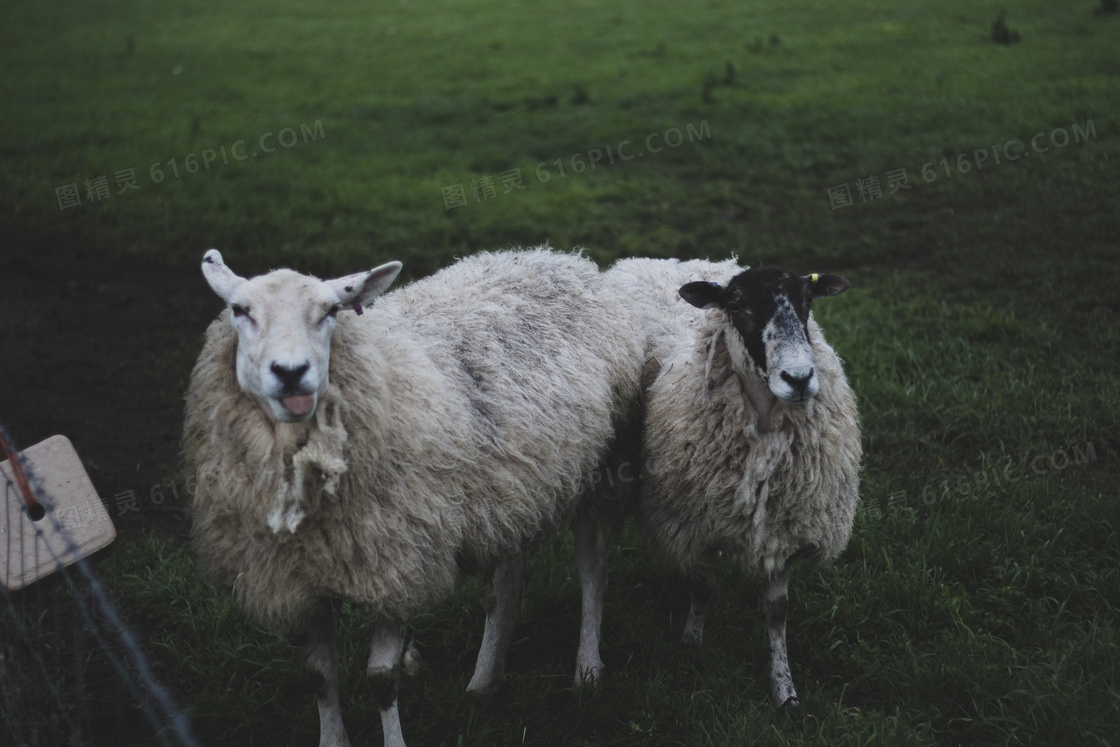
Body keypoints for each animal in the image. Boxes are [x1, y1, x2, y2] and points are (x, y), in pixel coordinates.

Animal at [181, 249, 640, 747]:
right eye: (239, 310)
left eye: (331, 311)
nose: (291, 373)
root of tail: (560, 259)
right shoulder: (300, 580)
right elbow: (319, 675)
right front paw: (332, 739)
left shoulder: (395, 564)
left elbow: (381, 679)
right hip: (510, 492)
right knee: (506, 583)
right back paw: (485, 678)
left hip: (602, 469)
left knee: (592, 570)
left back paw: (587, 670)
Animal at [577, 259, 855, 712]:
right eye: (737, 307)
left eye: (807, 301)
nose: (799, 379)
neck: (763, 426)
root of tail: (665, 261)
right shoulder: (696, 525)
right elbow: (704, 587)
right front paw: (691, 643)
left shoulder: (785, 531)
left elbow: (777, 610)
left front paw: (784, 689)